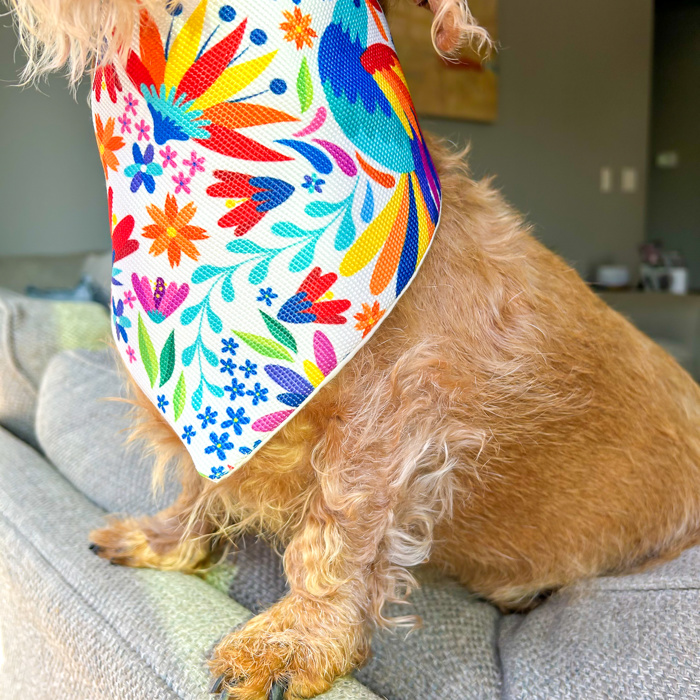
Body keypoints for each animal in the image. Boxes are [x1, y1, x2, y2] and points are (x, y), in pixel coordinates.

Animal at [5, 1, 700, 700]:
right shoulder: (209, 418)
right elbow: (198, 487)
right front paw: (168, 541)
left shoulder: (390, 420)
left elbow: (337, 532)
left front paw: (294, 639)